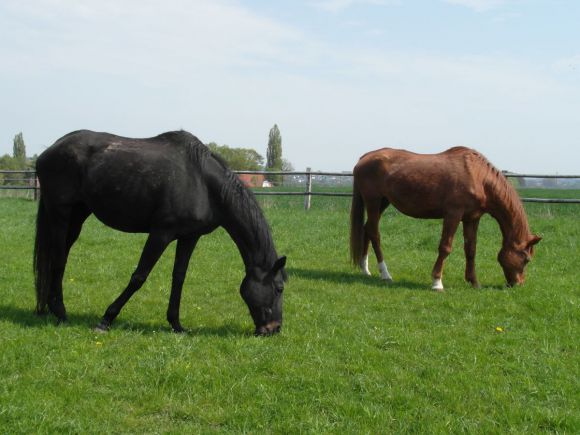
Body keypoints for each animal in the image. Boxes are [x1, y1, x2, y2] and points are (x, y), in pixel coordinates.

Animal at [32, 129, 286, 338]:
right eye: (279, 288)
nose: (274, 329)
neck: (203, 184)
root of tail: (48, 152)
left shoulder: (189, 237)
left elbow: (179, 277)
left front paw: (176, 324)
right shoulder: (161, 233)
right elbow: (139, 276)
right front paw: (106, 319)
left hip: (77, 215)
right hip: (60, 213)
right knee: (58, 258)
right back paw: (61, 312)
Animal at [352, 147, 540, 292]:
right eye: (526, 259)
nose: (518, 284)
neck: (478, 176)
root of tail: (364, 158)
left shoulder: (472, 219)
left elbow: (471, 250)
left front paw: (474, 282)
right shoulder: (453, 215)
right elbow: (445, 247)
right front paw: (437, 282)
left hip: (383, 202)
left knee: (367, 229)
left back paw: (365, 268)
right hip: (373, 201)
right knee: (375, 233)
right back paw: (385, 274)